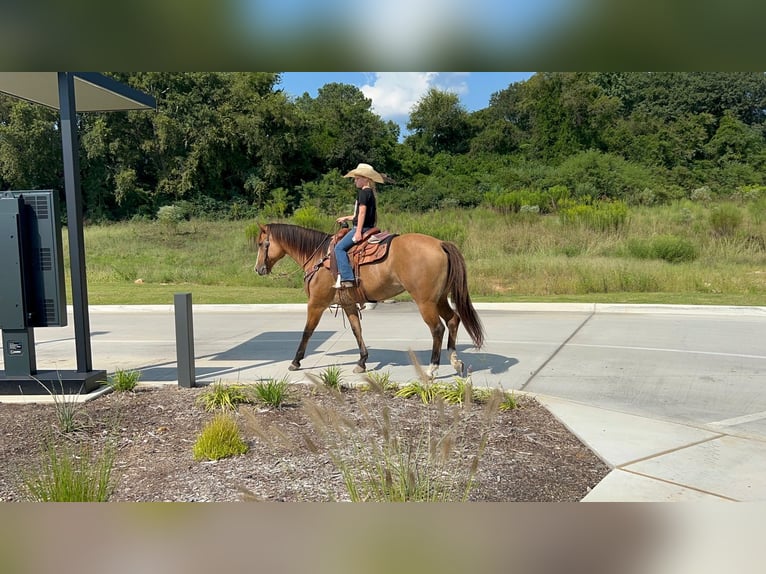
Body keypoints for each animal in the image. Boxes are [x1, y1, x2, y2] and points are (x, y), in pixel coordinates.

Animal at [258, 224, 486, 378]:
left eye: (262, 243)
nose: (258, 269)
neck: (320, 258)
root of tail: (440, 244)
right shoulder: (348, 304)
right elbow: (356, 330)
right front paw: (362, 362)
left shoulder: (316, 303)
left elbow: (307, 331)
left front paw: (296, 361)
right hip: (439, 299)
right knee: (453, 320)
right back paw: (455, 362)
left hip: (426, 301)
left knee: (437, 328)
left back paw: (432, 370)